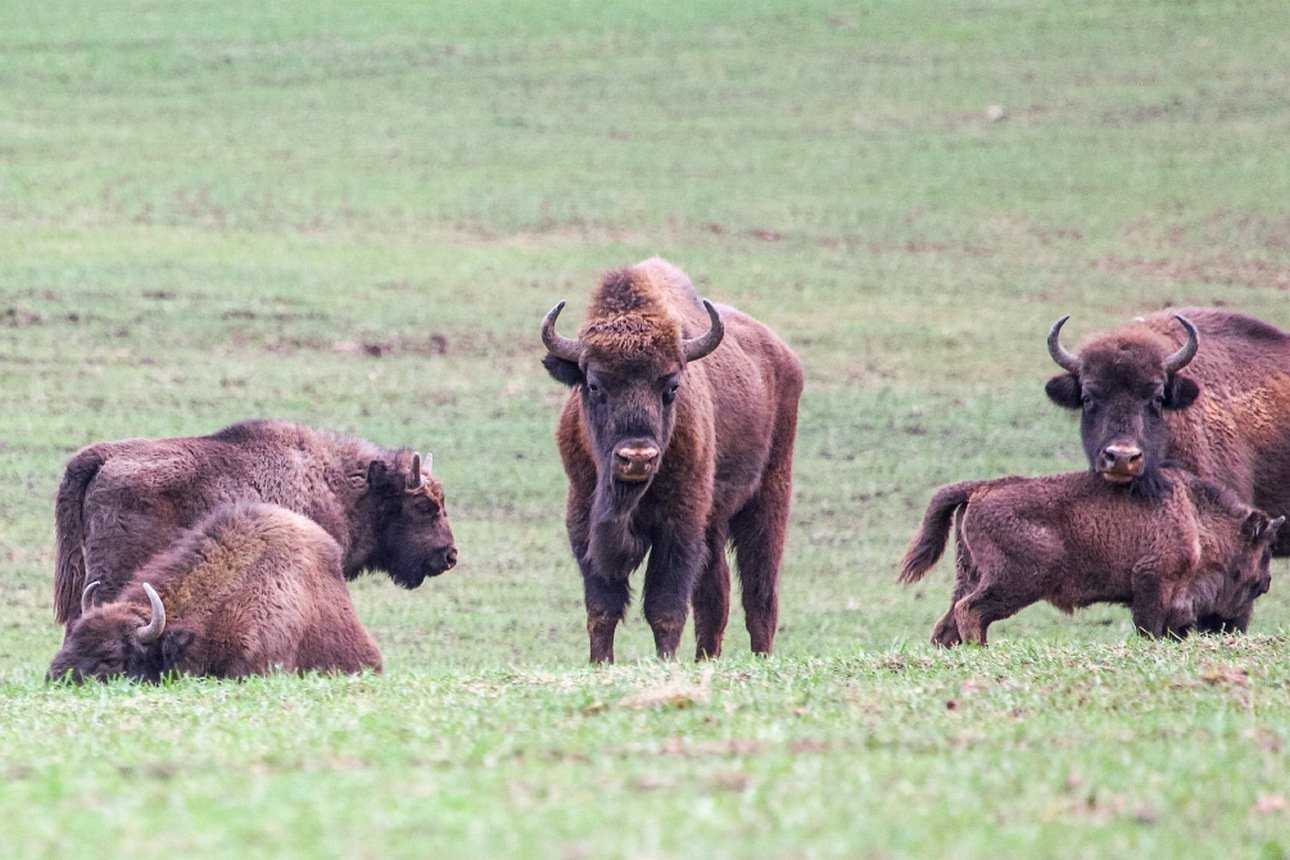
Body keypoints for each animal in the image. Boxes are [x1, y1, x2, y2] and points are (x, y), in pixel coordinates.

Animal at [539, 259, 799, 665]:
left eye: (672, 385)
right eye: (594, 385)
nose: (637, 457)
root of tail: (785, 356)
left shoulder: (679, 525)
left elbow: (665, 607)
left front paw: (666, 662)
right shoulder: (582, 518)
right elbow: (602, 607)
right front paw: (600, 663)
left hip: (769, 497)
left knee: (759, 594)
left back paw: (760, 658)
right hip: (715, 522)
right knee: (715, 596)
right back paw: (705, 659)